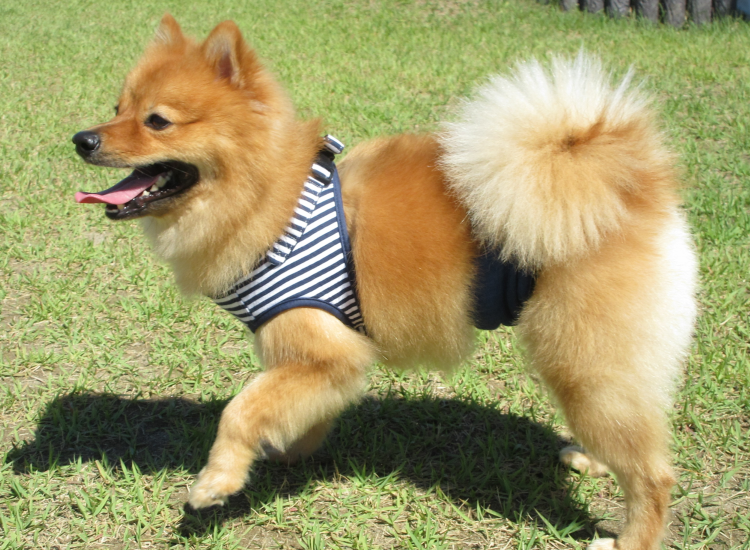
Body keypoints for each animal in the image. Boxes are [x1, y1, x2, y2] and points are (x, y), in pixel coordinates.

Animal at [72, 14, 697, 550]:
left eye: (157, 121)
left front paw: (216, 482)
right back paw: (589, 459)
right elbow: (298, 409)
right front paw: (289, 450)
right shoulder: (322, 361)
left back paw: (631, 536)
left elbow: (241, 409)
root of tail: (631, 183)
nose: (83, 138)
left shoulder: (326, 347)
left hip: (582, 360)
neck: (269, 200)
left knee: (654, 473)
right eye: (116, 107)